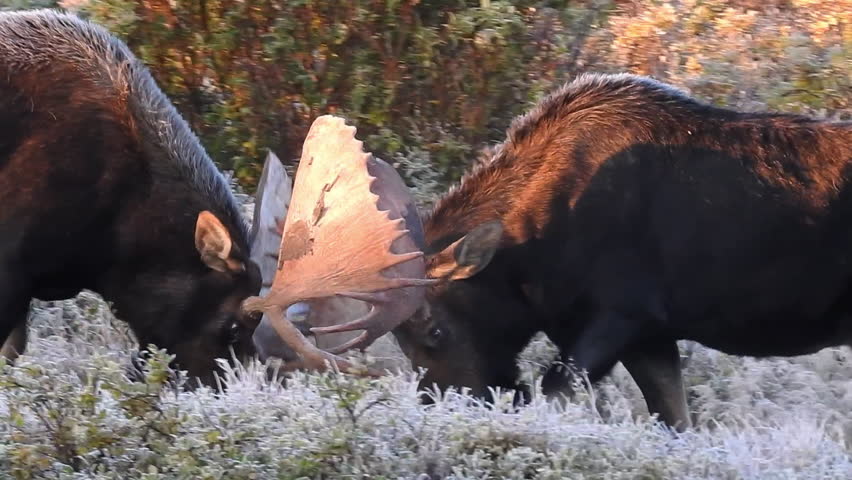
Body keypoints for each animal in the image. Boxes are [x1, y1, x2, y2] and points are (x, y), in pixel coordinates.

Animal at [386, 73, 852, 431]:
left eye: (435, 331)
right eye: (400, 340)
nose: (445, 406)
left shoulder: (623, 315)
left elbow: (554, 393)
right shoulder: (651, 337)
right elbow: (675, 421)